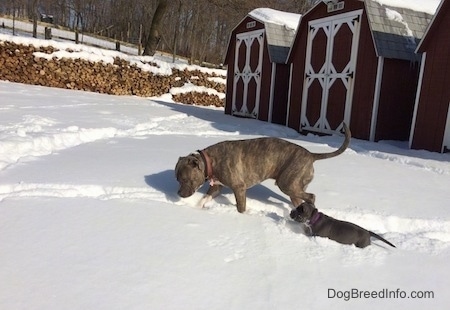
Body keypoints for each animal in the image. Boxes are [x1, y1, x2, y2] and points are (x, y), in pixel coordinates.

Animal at [175, 123, 352, 213]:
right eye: (177, 179)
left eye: (184, 179)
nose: (178, 194)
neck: (210, 161)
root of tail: (311, 155)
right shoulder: (216, 186)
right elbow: (204, 198)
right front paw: (197, 208)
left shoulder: (239, 188)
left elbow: (241, 207)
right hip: (293, 188)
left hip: (287, 184)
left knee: (311, 196)